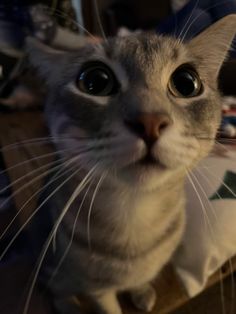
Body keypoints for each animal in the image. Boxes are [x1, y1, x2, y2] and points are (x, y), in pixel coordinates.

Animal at [25, 14, 236, 314]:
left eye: (186, 82)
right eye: (94, 80)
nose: (150, 122)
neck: (137, 215)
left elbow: (143, 278)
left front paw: (141, 291)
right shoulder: (97, 290)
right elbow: (108, 308)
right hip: (51, 268)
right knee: (57, 290)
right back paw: (69, 305)